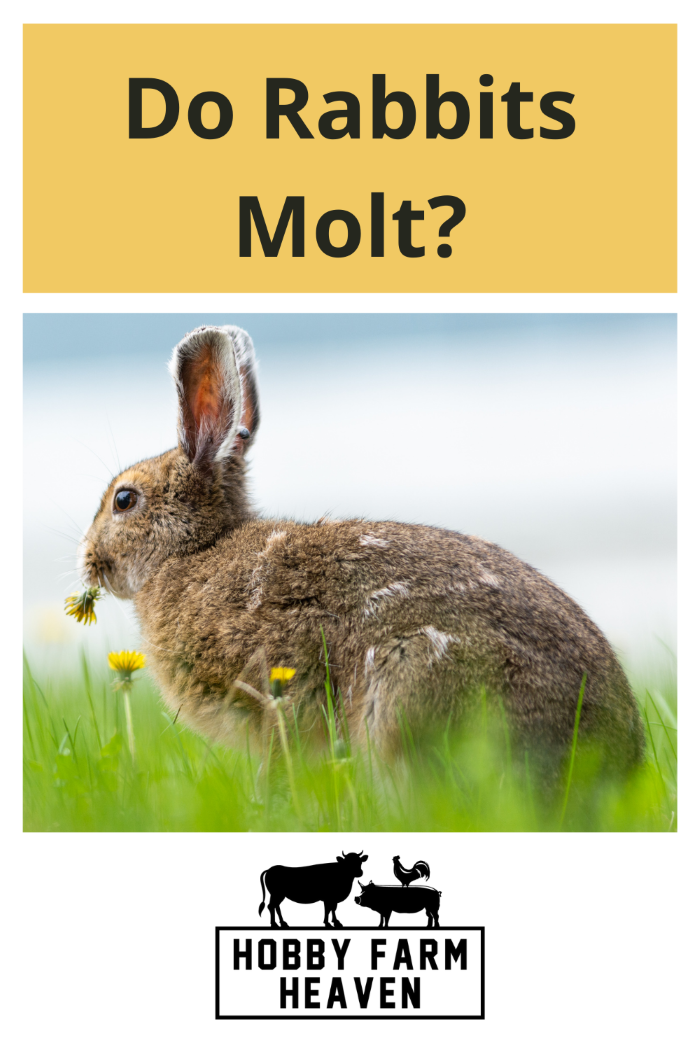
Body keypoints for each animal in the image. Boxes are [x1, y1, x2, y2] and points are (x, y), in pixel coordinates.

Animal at [80, 324, 645, 774]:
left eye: (124, 500)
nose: (89, 561)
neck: (194, 550)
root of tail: (615, 760)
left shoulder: (273, 697)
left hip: (409, 687)